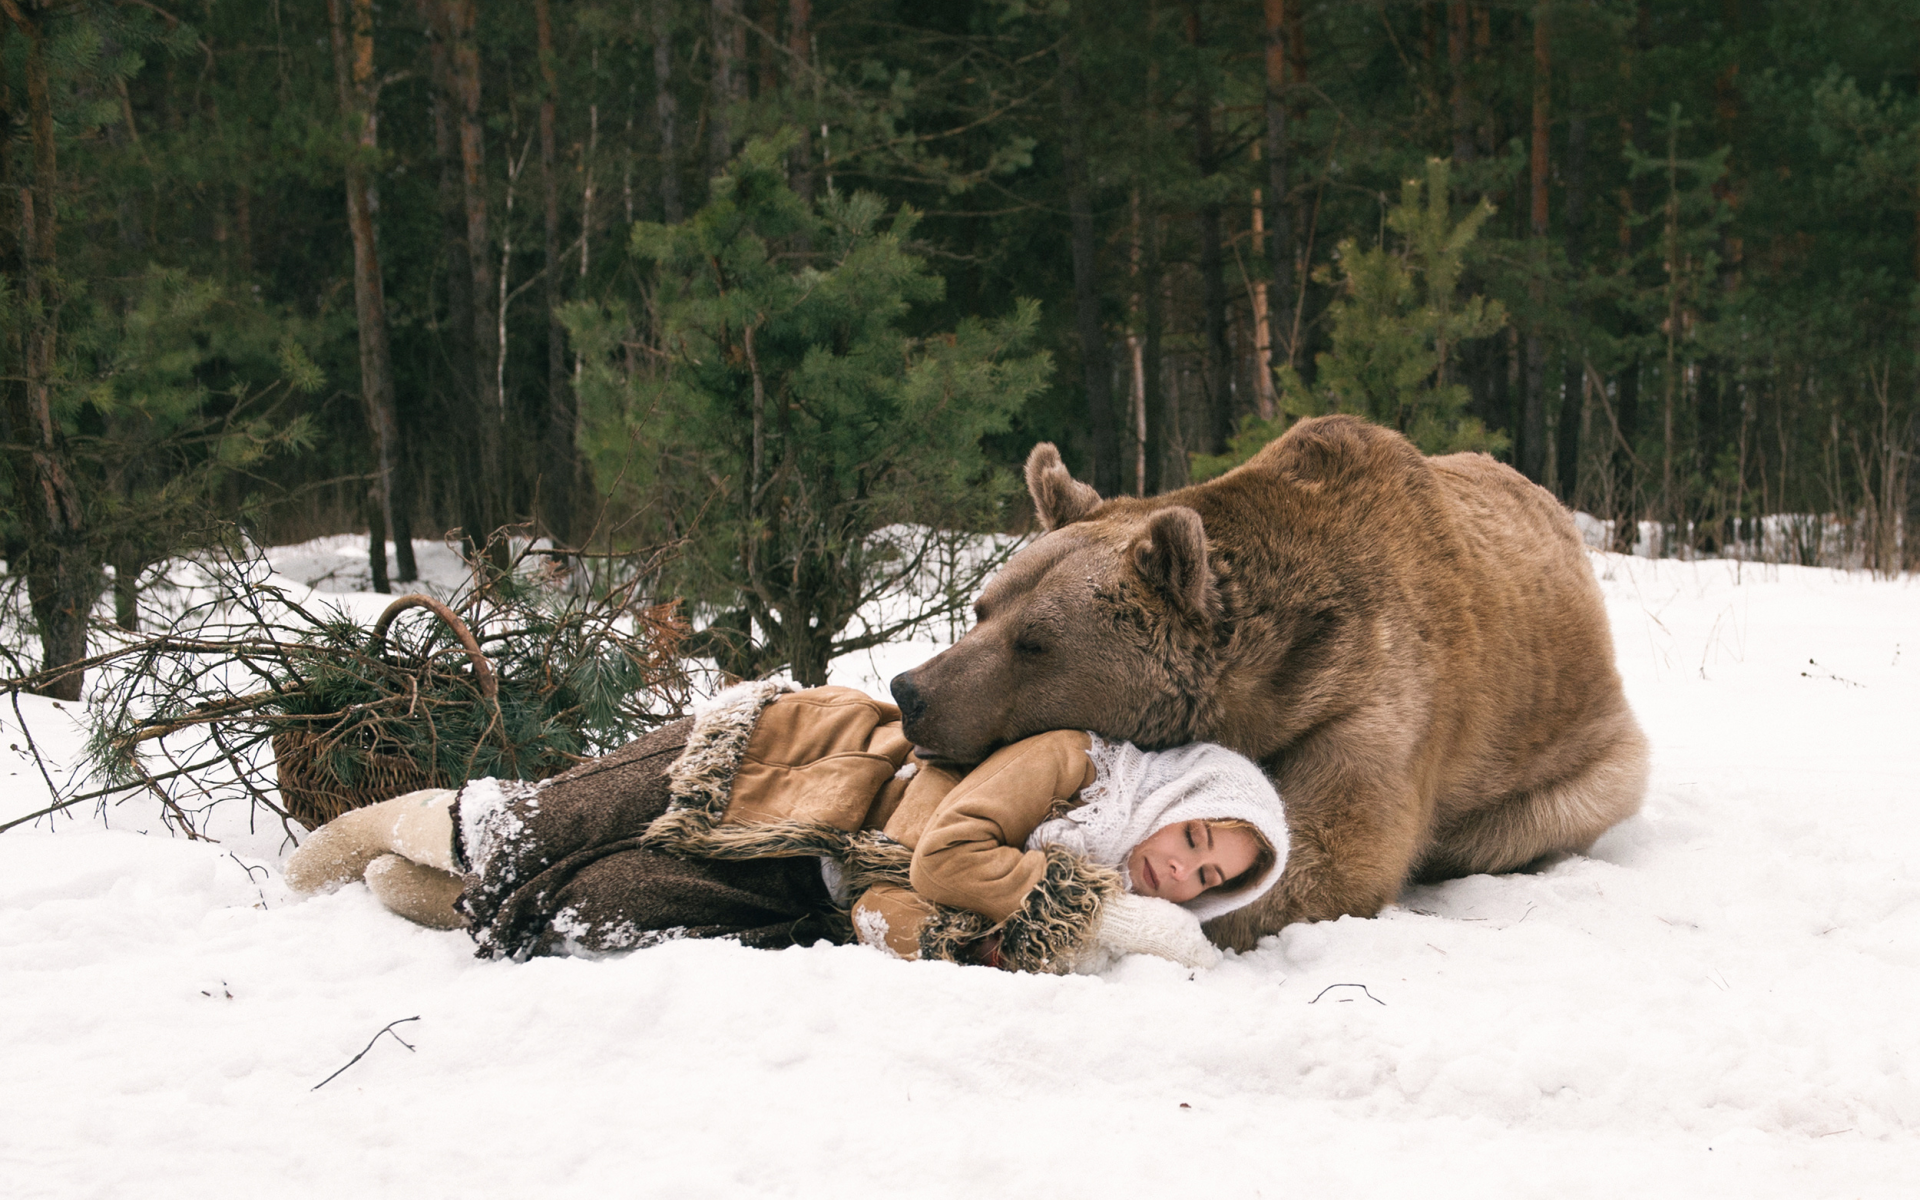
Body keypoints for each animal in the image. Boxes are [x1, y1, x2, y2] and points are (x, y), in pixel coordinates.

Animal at [887, 410, 1651, 944]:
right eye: (983, 608)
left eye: (1035, 643)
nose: (912, 691)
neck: (1264, 688)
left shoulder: (1373, 698)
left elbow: (1330, 855)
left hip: (1574, 763)